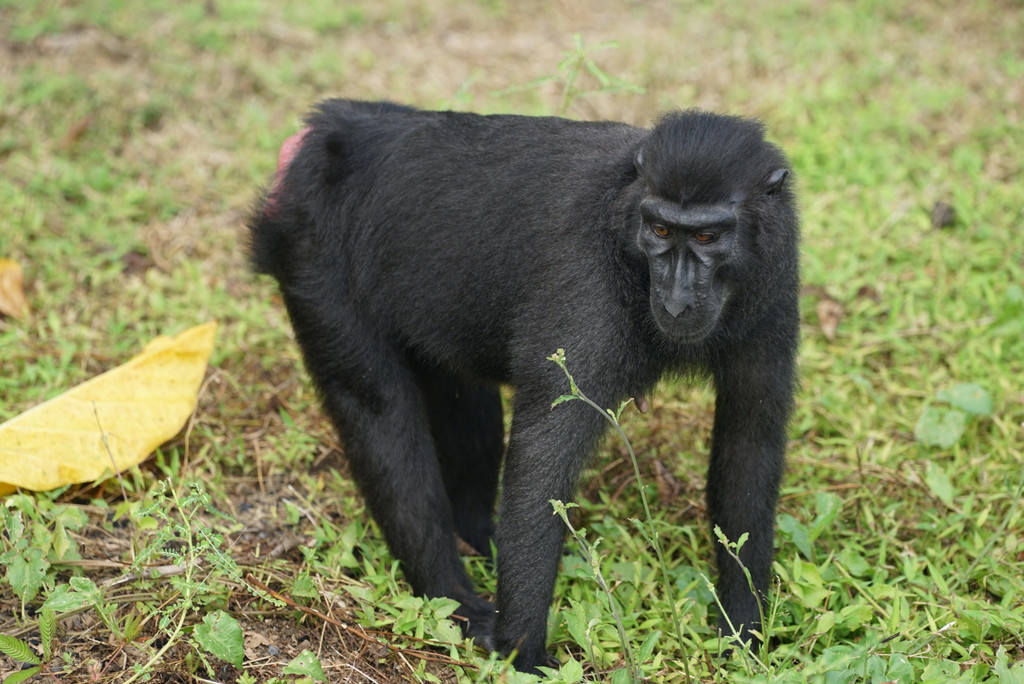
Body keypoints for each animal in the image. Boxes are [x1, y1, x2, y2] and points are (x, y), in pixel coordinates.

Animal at [249, 100, 798, 671]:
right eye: (661, 231)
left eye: (708, 237)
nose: (676, 297)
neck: (624, 221)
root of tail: (333, 131)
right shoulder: (588, 286)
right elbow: (542, 461)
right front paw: (523, 652)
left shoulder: (773, 281)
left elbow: (749, 445)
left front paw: (745, 633)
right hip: (313, 261)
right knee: (377, 410)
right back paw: (450, 595)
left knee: (463, 395)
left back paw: (482, 538)